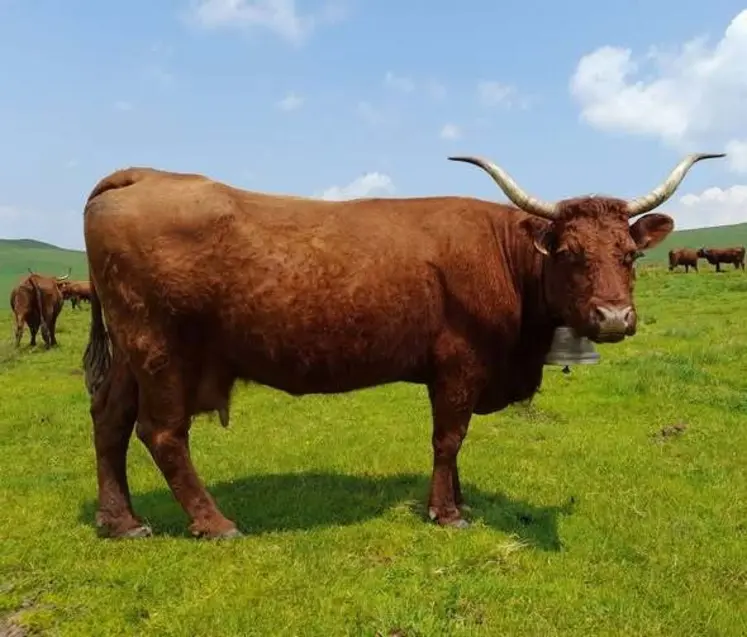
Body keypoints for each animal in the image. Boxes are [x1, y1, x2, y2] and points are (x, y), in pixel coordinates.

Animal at [81, 152, 724, 540]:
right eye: (568, 253)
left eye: (629, 254)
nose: (614, 317)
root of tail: (141, 174)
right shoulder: (459, 364)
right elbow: (448, 439)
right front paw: (447, 513)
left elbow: (456, 446)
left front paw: (459, 501)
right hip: (161, 349)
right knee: (163, 434)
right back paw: (214, 522)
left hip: (133, 352)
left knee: (110, 420)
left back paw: (121, 521)